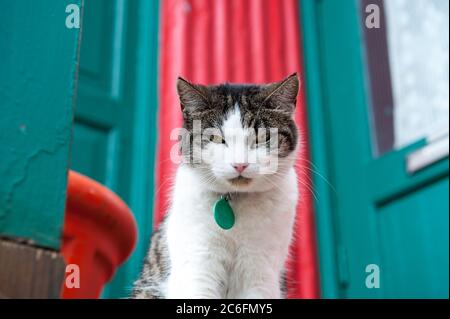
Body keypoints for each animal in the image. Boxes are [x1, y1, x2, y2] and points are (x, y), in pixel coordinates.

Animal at [134, 74, 302, 298]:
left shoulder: (261, 271)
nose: (240, 164)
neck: (234, 202)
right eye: (214, 138)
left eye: (263, 137)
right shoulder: (198, 262)